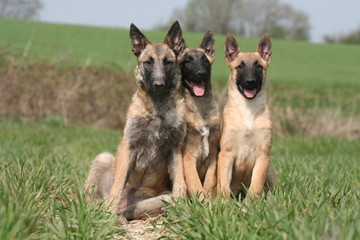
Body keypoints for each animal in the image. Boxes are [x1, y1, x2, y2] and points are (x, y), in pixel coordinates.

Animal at [84, 21, 186, 220]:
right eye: (148, 62)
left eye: (168, 62)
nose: (159, 85)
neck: (156, 111)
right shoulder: (129, 147)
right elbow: (118, 185)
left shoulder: (174, 150)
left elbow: (180, 184)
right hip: (103, 158)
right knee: (93, 200)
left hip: (161, 198)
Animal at [215, 32, 278, 202]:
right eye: (240, 66)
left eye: (258, 66)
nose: (250, 82)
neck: (248, 111)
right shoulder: (226, 154)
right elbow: (223, 184)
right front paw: (222, 204)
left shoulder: (263, 156)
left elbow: (256, 185)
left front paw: (251, 205)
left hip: (270, 171)